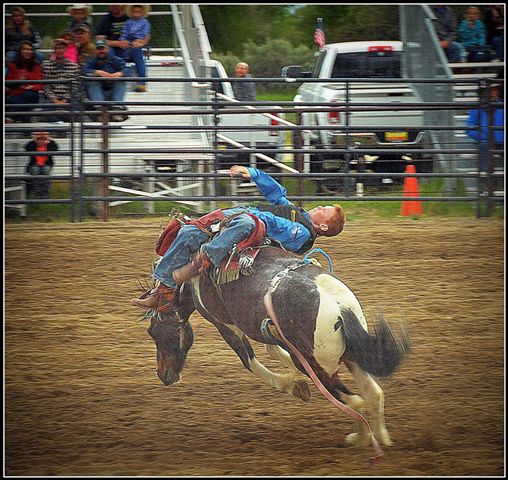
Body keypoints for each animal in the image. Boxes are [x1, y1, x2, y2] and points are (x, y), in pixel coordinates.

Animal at [141, 246, 410, 464]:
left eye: (152, 331)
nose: (163, 375)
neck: (193, 279)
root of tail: (339, 307)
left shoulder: (225, 325)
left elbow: (249, 360)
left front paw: (293, 386)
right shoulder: (266, 328)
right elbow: (272, 348)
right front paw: (291, 376)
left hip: (318, 367)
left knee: (355, 401)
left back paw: (361, 438)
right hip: (351, 357)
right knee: (373, 393)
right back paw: (382, 438)